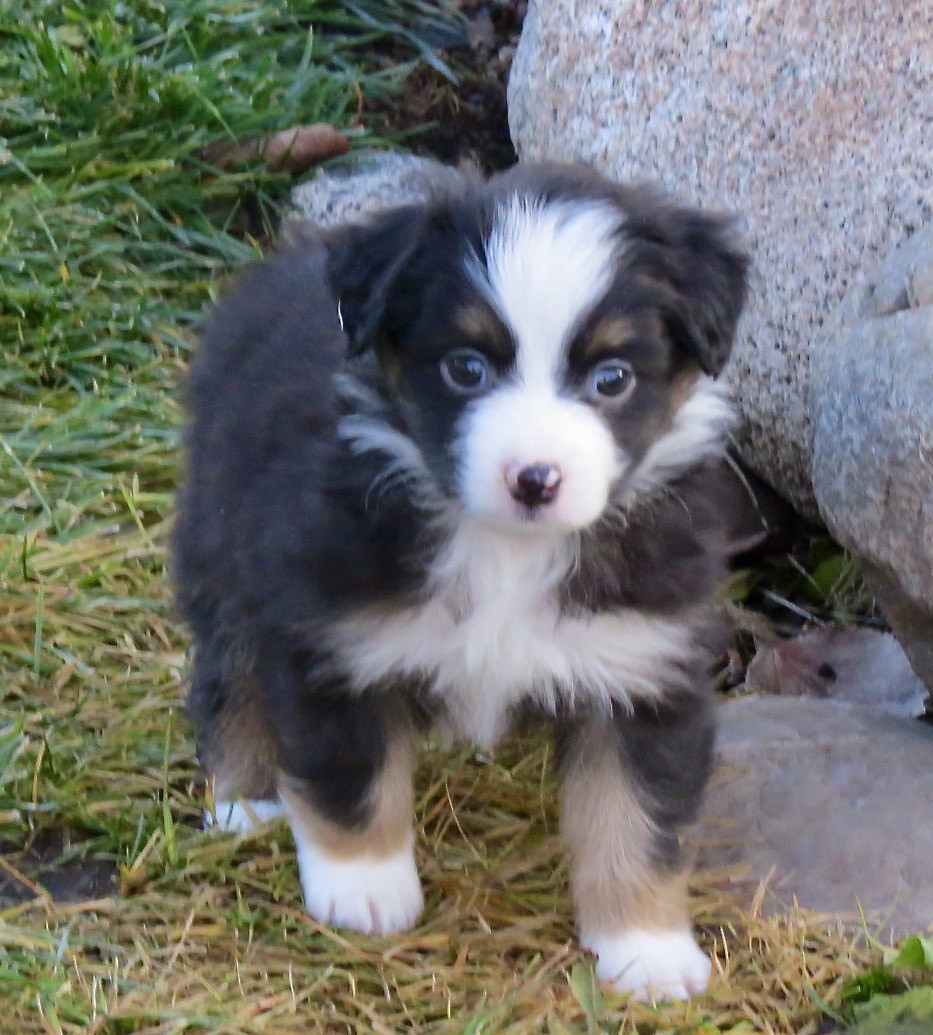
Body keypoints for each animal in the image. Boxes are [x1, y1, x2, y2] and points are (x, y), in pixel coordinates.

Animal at [172, 163, 749, 1001]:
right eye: (465, 367)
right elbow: (349, 771)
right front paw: (363, 887)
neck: (508, 550)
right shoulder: (330, 630)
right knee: (229, 672)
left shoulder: (644, 660)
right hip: (219, 535)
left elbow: (636, 811)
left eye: (611, 378)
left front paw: (647, 948)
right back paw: (245, 799)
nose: (534, 479)